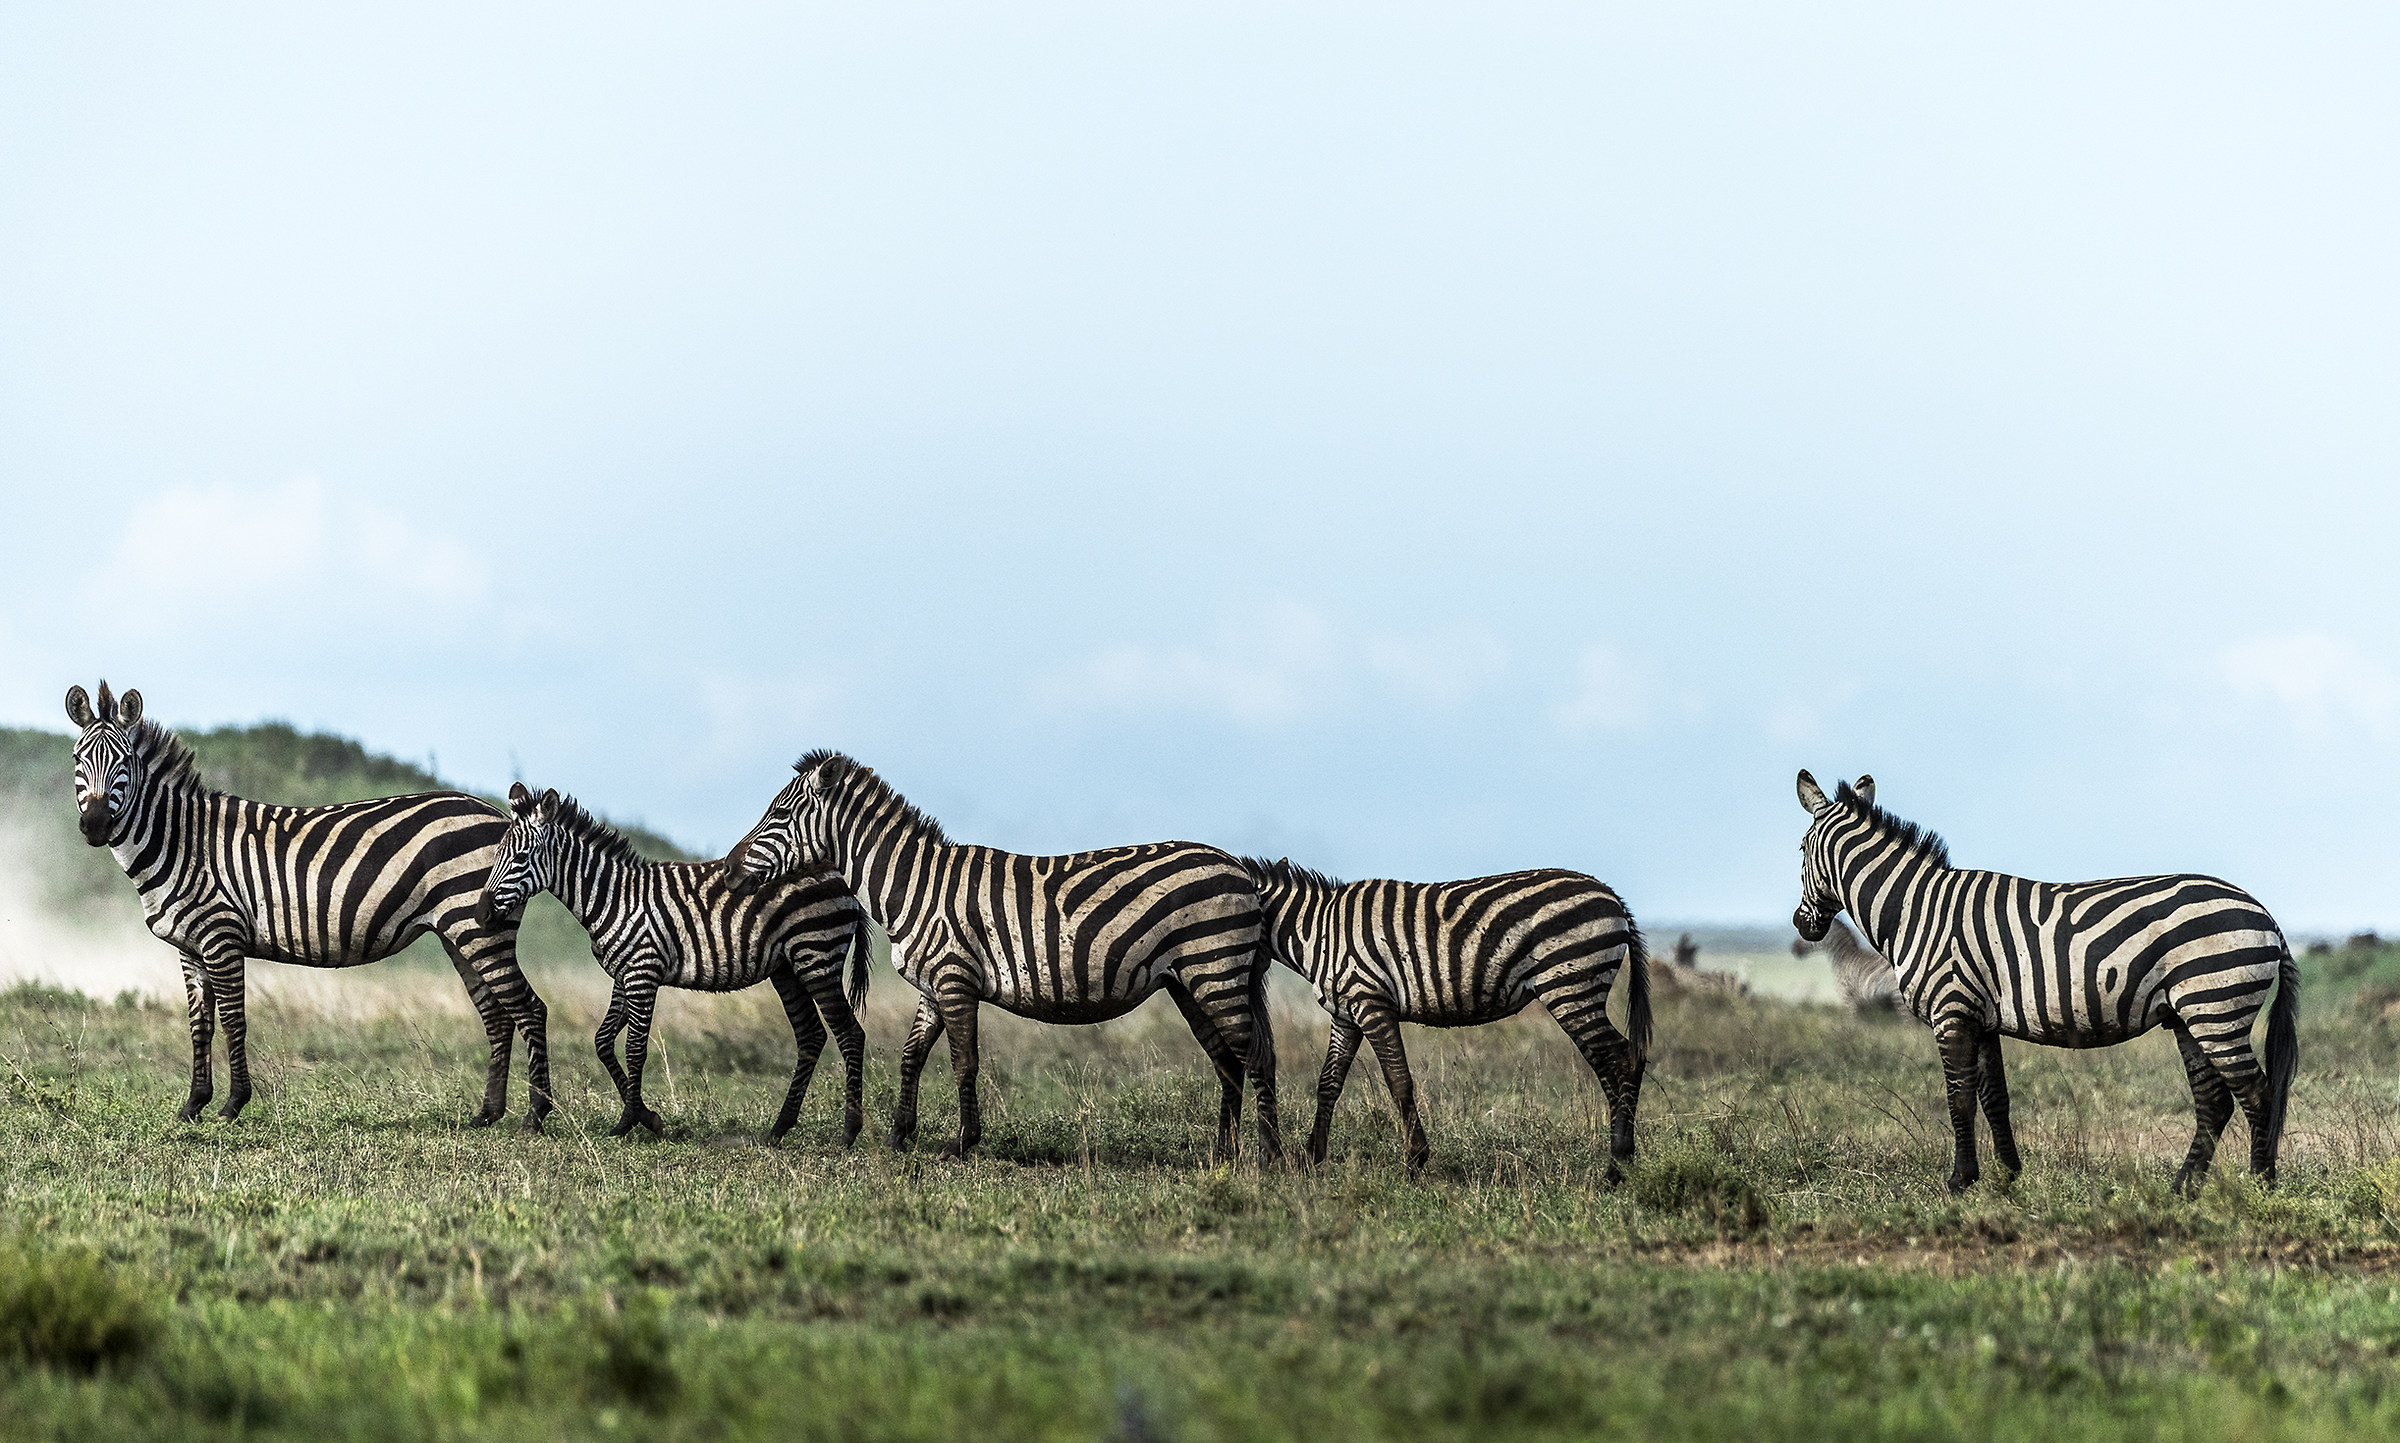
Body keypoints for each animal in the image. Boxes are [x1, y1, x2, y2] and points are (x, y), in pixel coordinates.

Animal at [64, 682, 552, 1128]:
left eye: (125, 762)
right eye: (77, 759)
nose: (95, 825)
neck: (182, 842)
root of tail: (501, 815)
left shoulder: (221, 936)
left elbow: (233, 1019)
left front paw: (232, 1105)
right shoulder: (190, 947)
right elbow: (199, 1024)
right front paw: (192, 1106)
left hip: (478, 928)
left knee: (529, 1008)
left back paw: (536, 1114)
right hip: (462, 931)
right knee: (497, 1015)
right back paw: (487, 1114)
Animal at [475, 783, 868, 1145]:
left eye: (521, 858)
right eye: (496, 855)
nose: (480, 915)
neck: (612, 898)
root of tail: (838, 875)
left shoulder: (642, 973)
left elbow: (635, 1049)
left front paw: (630, 1121)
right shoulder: (624, 976)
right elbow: (603, 1042)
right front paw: (645, 1117)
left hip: (817, 956)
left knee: (849, 1033)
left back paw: (848, 1132)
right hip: (788, 968)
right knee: (812, 1035)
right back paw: (779, 1128)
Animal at [725, 751, 1280, 1163]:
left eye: (779, 814)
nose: (728, 872)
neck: (915, 888)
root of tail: (1239, 869)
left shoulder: (955, 979)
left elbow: (963, 1061)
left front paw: (962, 1144)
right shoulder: (933, 984)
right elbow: (911, 1056)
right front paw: (899, 1136)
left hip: (1216, 969)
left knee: (1254, 1056)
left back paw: (1270, 1157)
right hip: (1190, 981)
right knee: (1228, 1058)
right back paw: (1224, 1154)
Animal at [1240, 857, 1650, 1177]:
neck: (1317, 931)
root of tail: (1612, 897)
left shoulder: (1371, 1002)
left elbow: (1399, 1082)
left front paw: (1415, 1160)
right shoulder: (1347, 1012)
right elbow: (1329, 1082)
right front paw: (1311, 1157)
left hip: (1571, 986)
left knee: (1622, 1059)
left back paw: (1617, 1165)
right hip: (1579, 991)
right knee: (1617, 1061)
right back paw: (1619, 1159)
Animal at [1792, 770, 2300, 1194]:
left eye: (1800, 849)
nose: (1801, 924)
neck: (1916, 911)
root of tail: (2266, 914)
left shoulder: (1952, 1010)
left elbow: (1959, 1100)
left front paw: (1959, 1181)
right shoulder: (1982, 1019)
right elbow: (1994, 1098)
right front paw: (2007, 1177)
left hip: (2217, 1006)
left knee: (2256, 1093)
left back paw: (2261, 1185)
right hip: (2190, 1015)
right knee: (2215, 1101)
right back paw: (2183, 1188)